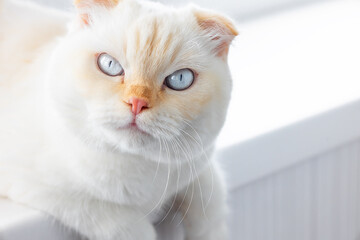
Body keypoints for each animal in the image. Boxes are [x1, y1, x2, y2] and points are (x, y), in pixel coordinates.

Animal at [0, 0, 238, 239]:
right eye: (109, 64)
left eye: (180, 79)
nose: (137, 103)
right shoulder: (53, 192)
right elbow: (128, 225)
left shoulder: (194, 163)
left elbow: (210, 203)